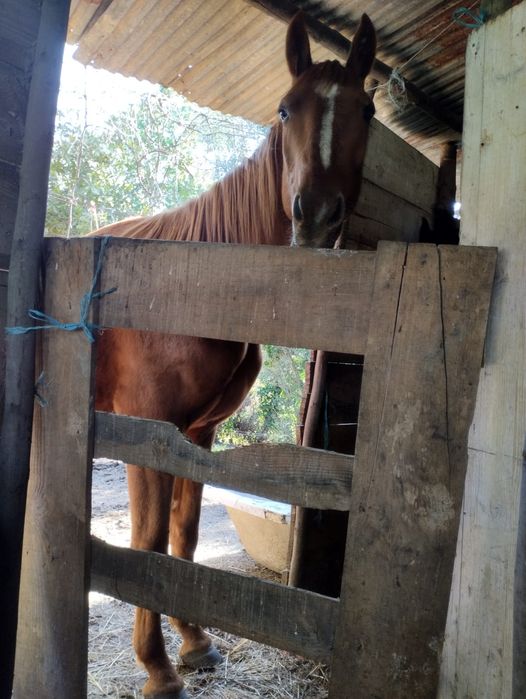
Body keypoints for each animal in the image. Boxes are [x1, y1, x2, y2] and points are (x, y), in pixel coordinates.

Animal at [93, 12, 376, 699]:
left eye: (366, 110)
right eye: (285, 108)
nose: (315, 216)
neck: (195, 286)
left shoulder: (198, 436)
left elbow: (185, 536)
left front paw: (195, 644)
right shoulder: (148, 436)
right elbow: (147, 544)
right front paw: (158, 668)